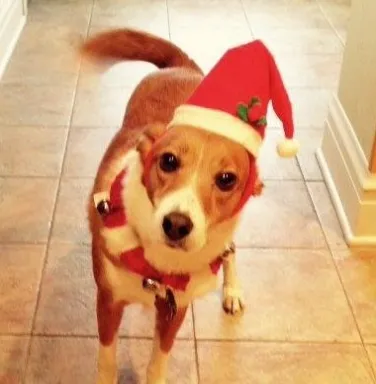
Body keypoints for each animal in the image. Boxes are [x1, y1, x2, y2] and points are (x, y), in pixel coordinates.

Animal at [82, 28, 266, 382]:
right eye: (168, 161)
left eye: (226, 179)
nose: (177, 225)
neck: (157, 267)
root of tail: (183, 66)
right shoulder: (108, 301)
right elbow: (107, 359)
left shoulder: (175, 309)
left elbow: (158, 361)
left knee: (230, 249)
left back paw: (232, 291)